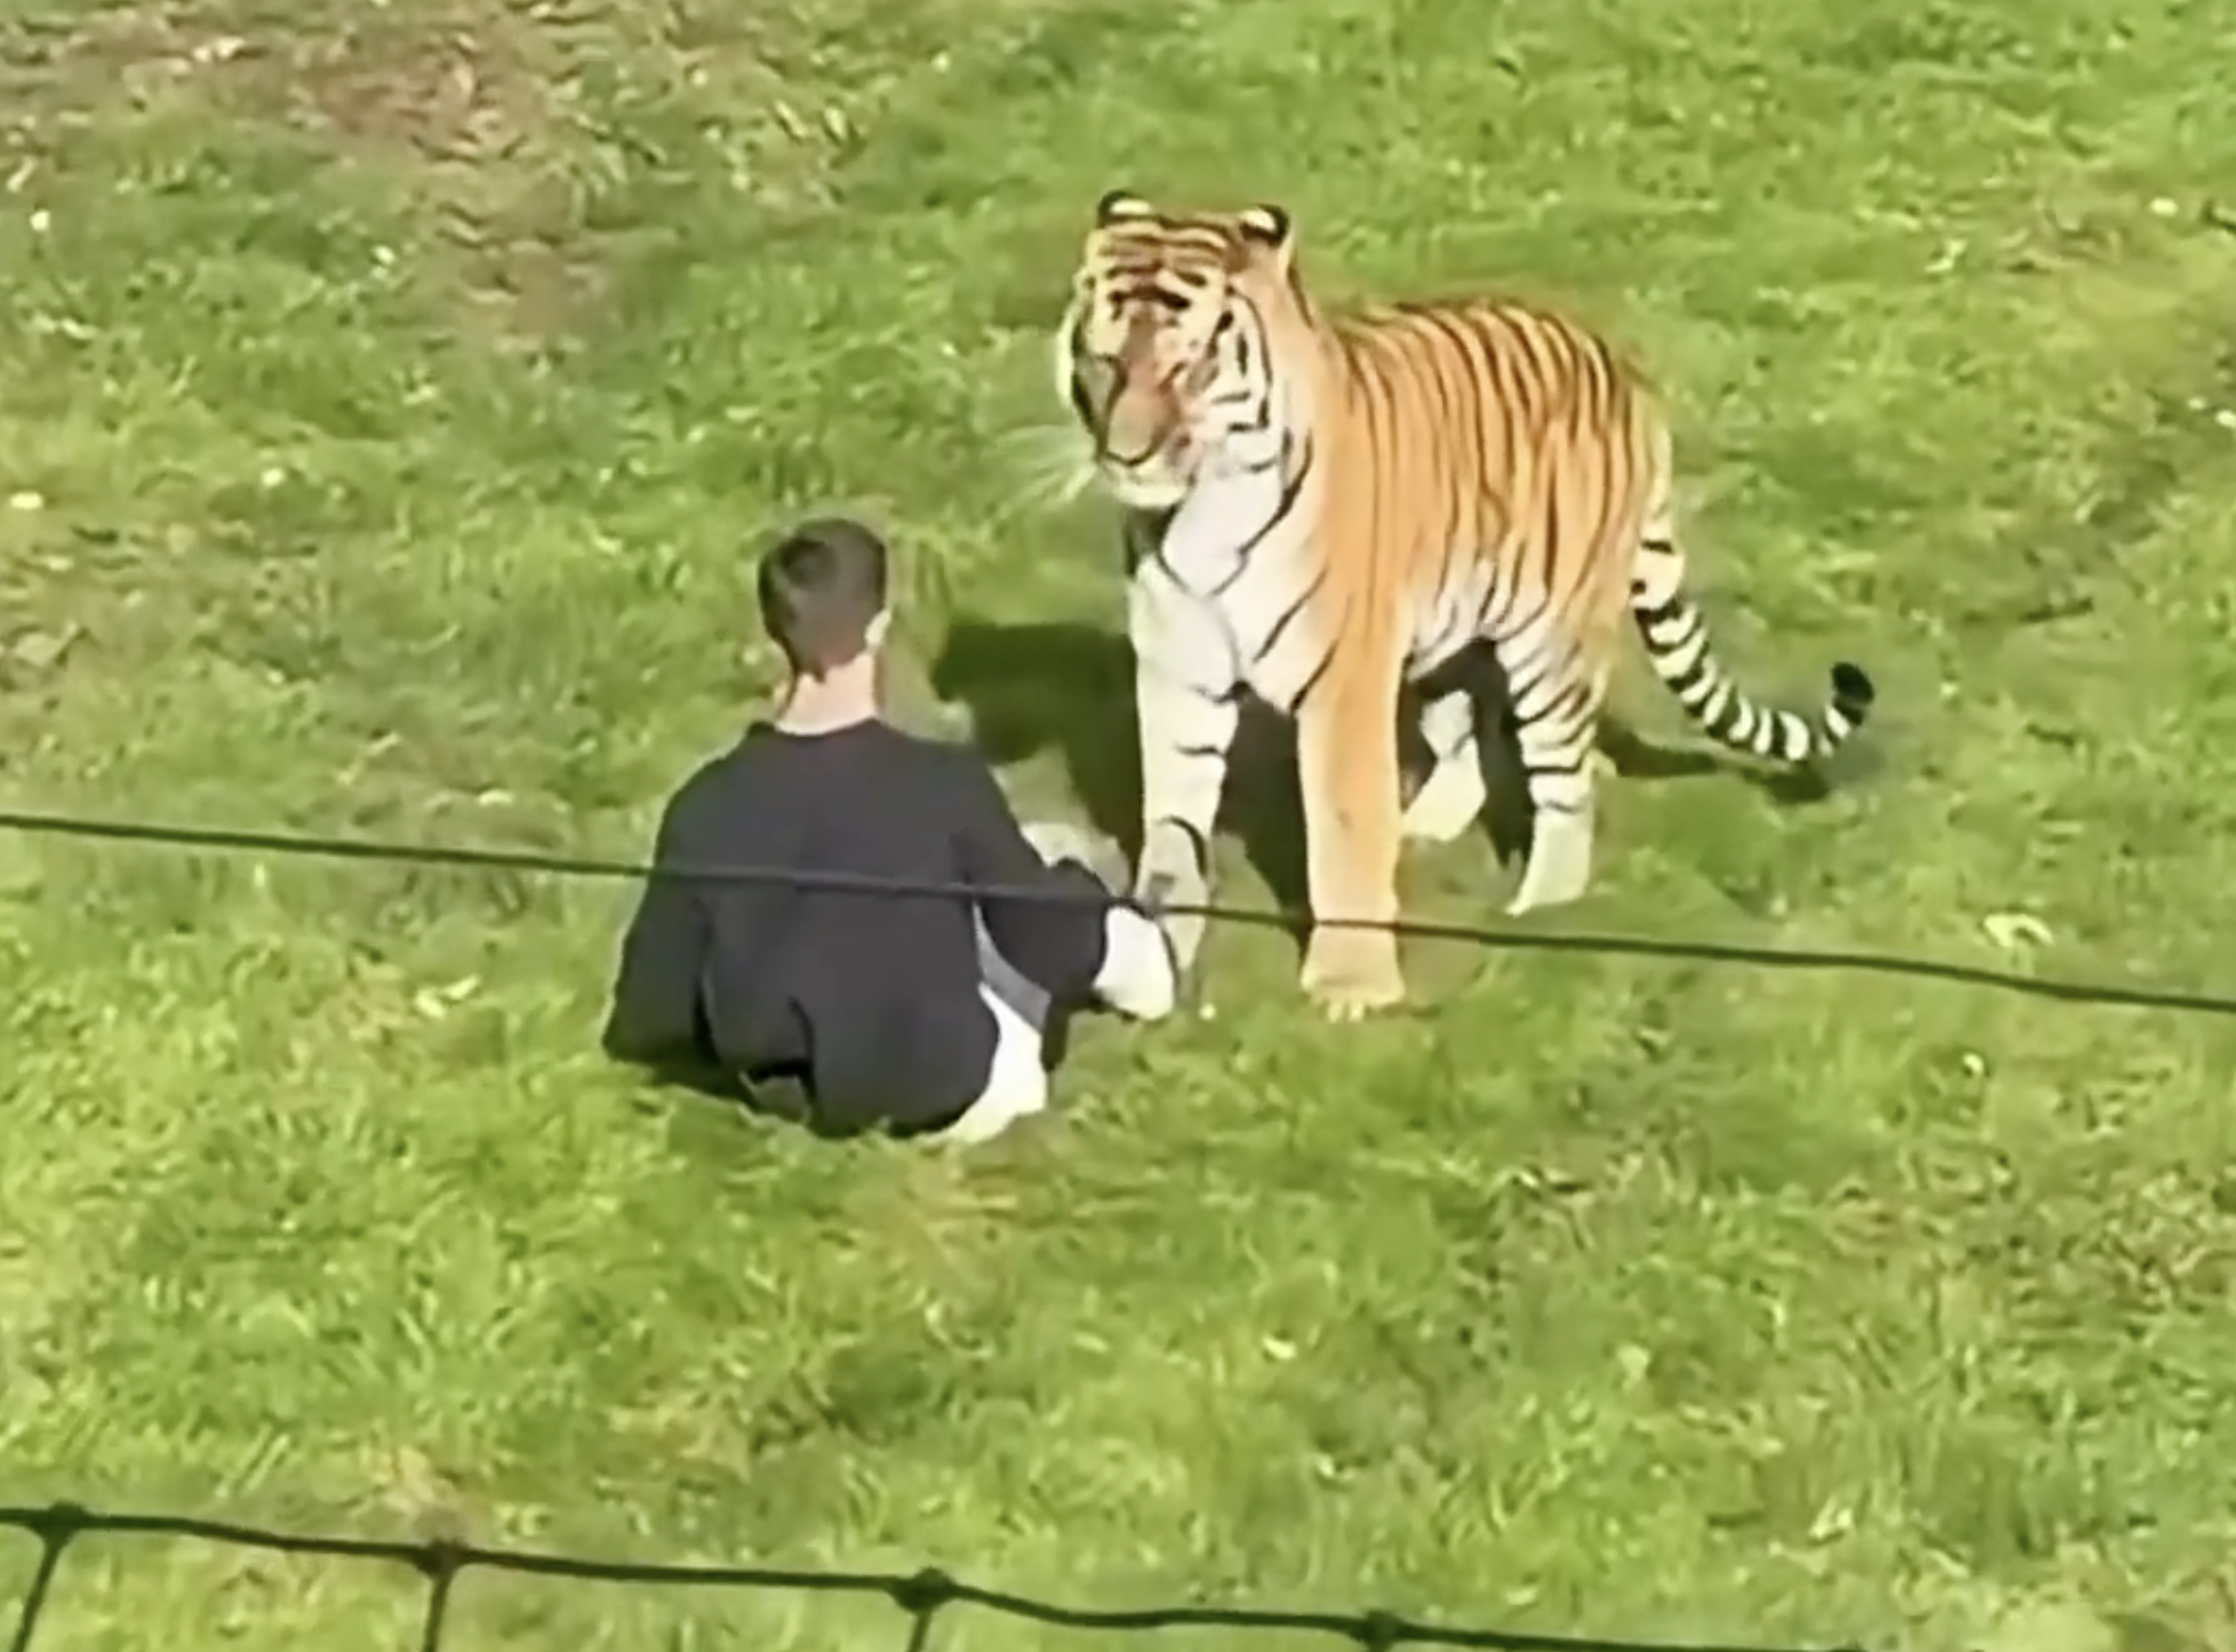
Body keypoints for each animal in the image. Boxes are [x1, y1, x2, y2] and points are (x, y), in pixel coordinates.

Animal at [1052, 190, 1876, 1021]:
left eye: (1188, 366)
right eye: (1106, 360)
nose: (1125, 456)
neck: (1200, 514)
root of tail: (1624, 373)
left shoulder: (1344, 681)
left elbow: (1344, 825)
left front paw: (1351, 986)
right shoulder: (1178, 672)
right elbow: (1170, 824)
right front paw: (1158, 950)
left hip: (1553, 647)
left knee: (1565, 784)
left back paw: (1542, 911)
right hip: (1455, 630)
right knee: (1471, 727)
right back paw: (1425, 827)